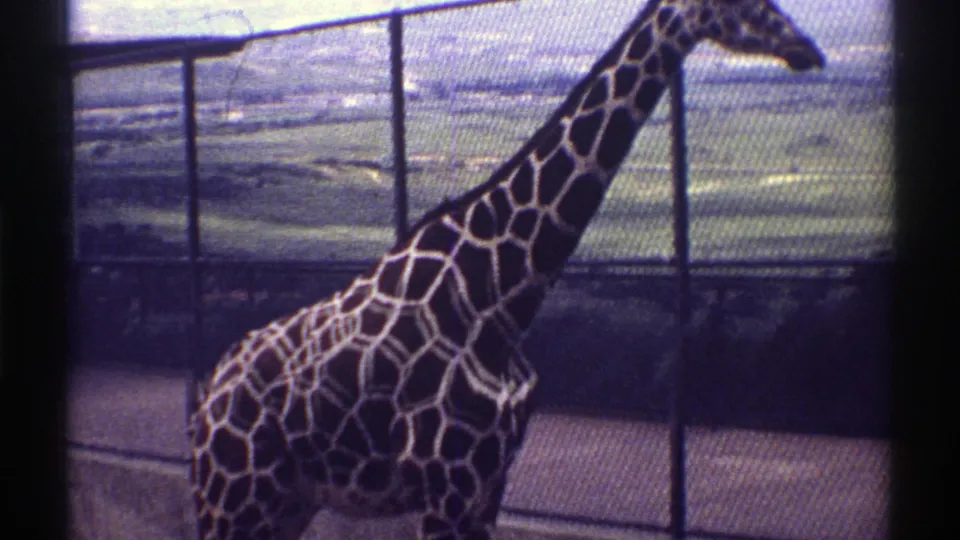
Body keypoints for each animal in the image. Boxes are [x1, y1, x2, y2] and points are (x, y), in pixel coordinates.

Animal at [189, 1, 825, 538]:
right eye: (745, 2)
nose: (809, 51)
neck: (503, 293)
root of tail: (209, 392)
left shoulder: (490, 484)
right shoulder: (445, 486)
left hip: (285, 501)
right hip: (233, 494)